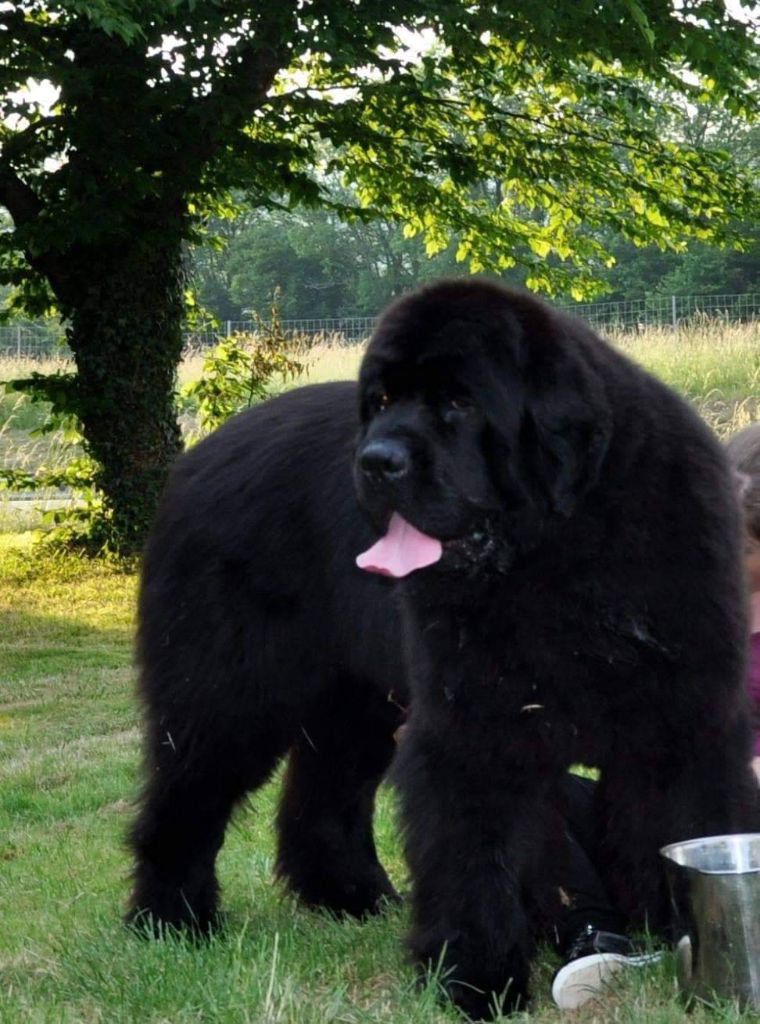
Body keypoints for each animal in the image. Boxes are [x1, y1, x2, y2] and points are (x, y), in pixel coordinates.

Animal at [128, 278, 757, 1015]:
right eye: (379, 402)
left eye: (459, 402)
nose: (375, 461)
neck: (565, 553)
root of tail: (198, 457)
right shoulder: (475, 729)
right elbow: (473, 857)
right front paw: (476, 983)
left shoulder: (683, 716)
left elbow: (679, 819)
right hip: (230, 691)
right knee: (188, 792)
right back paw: (170, 920)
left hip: (358, 700)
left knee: (322, 798)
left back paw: (352, 899)